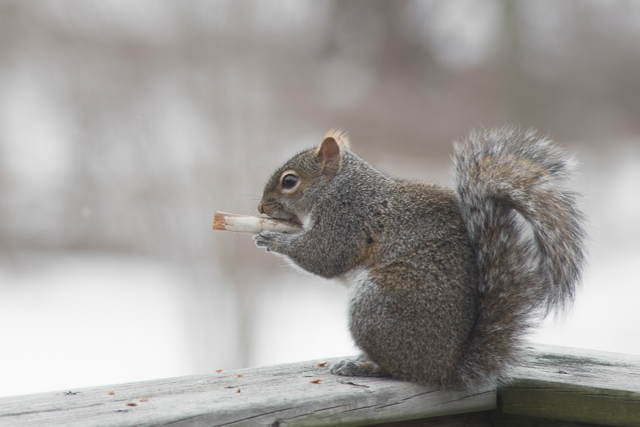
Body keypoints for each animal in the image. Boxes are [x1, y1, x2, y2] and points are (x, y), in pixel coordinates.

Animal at [254, 126, 586, 389]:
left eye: (289, 181)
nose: (261, 208)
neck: (338, 187)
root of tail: (446, 369)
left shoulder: (346, 219)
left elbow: (325, 255)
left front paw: (272, 239)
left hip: (376, 305)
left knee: (398, 370)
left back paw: (361, 366)